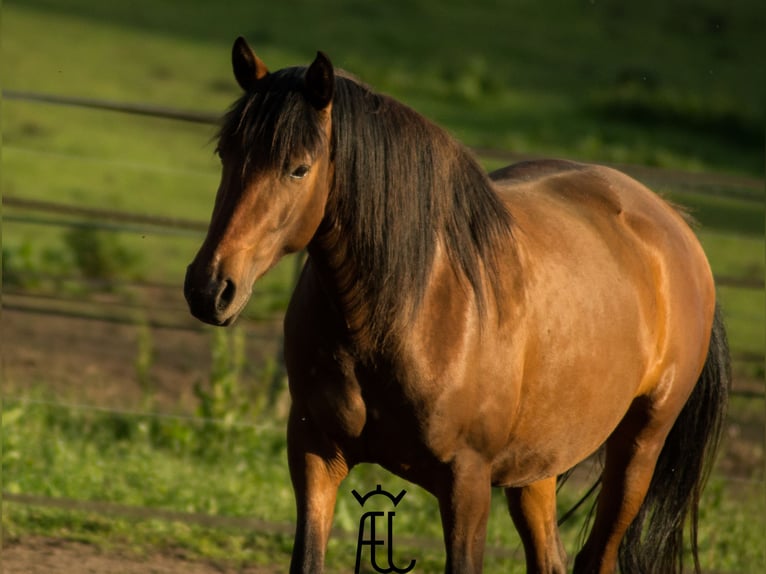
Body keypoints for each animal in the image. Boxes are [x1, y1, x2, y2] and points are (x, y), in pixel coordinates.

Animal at [184, 38, 732, 572]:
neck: (403, 312)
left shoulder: (466, 482)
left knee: (598, 556)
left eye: (298, 169)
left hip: (638, 450)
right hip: (537, 466)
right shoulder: (316, 452)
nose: (209, 288)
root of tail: (674, 225)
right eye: (225, 153)